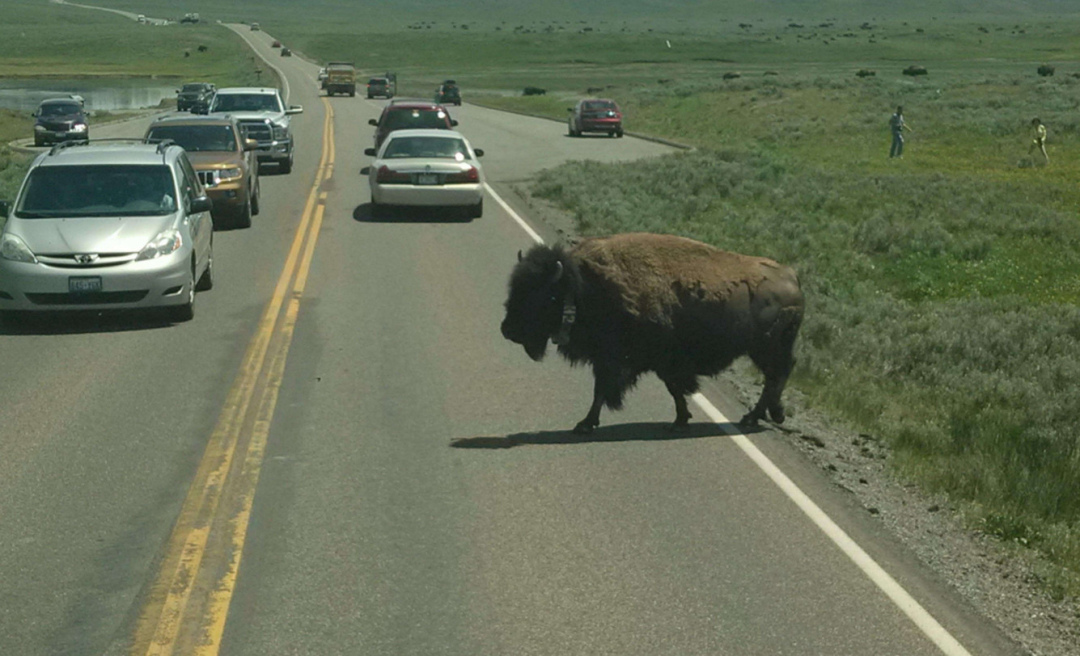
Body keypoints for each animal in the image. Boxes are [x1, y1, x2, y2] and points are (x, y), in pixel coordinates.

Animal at [498, 233, 803, 434]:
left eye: (544, 296)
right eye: (515, 288)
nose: (507, 329)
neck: (582, 288)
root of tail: (792, 277)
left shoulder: (619, 361)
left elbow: (603, 391)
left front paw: (584, 424)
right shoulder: (648, 362)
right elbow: (673, 389)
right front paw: (681, 418)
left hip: (766, 349)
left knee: (777, 376)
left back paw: (753, 418)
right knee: (777, 376)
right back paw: (768, 415)